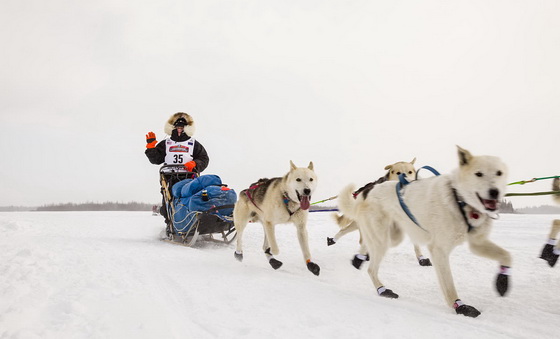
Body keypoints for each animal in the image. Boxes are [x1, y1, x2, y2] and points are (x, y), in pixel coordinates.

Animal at [336, 147, 512, 318]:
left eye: (499, 173)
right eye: (478, 174)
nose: (494, 191)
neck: (458, 199)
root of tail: (366, 193)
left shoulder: (477, 243)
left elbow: (507, 255)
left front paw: (503, 280)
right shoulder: (439, 250)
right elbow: (449, 285)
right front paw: (460, 306)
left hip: (393, 237)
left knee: (368, 245)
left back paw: (359, 259)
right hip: (382, 240)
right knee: (371, 268)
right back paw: (383, 289)